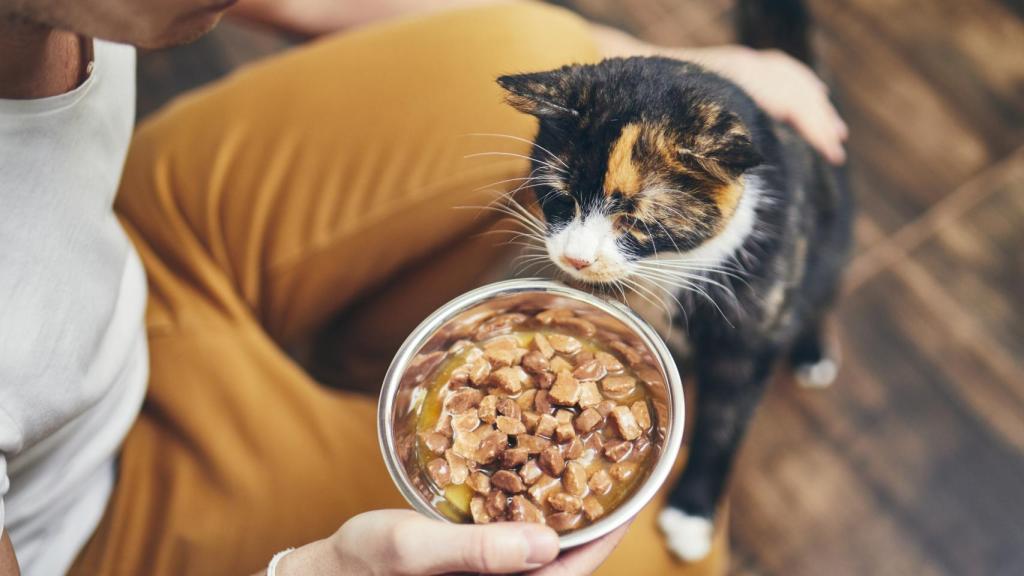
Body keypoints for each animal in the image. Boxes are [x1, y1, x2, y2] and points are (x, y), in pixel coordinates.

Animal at [491, 0, 851, 557]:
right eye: (560, 198)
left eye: (635, 221)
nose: (576, 259)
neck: (667, 270)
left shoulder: (747, 336)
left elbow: (724, 422)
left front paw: (692, 513)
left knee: (821, 292)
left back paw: (812, 350)